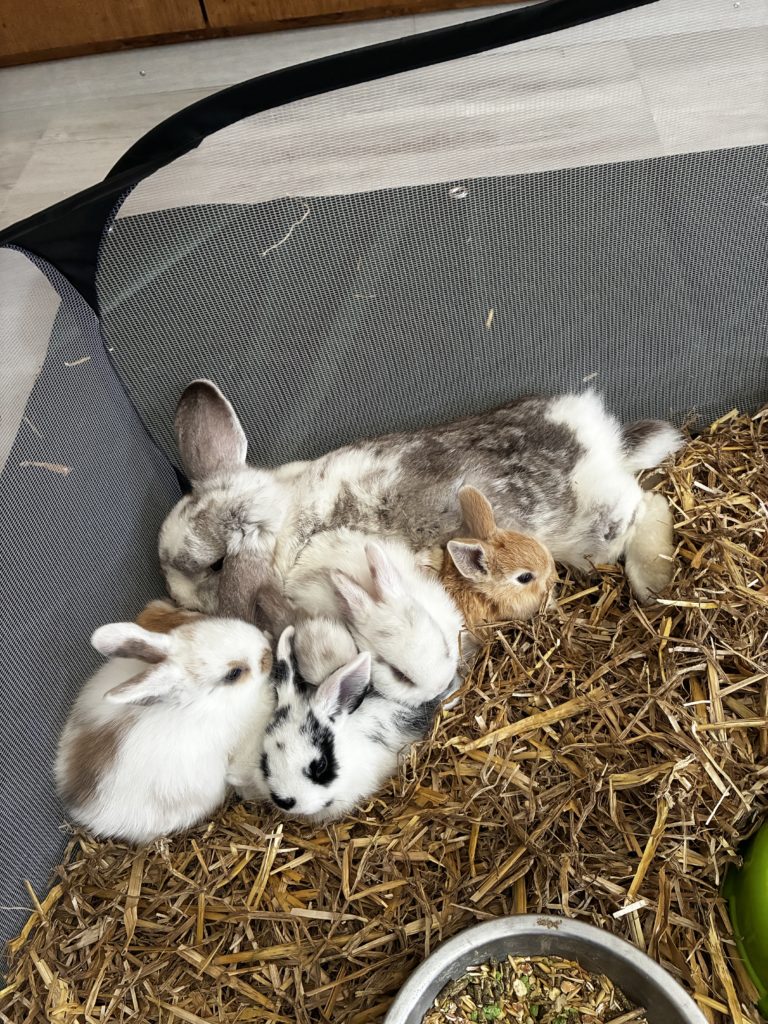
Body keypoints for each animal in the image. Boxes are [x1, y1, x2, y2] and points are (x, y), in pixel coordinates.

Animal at [158, 381, 682, 626]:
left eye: (215, 565)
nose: (182, 601)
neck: (288, 523)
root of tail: (600, 439)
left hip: (596, 531)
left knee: (647, 503)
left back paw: (652, 580)